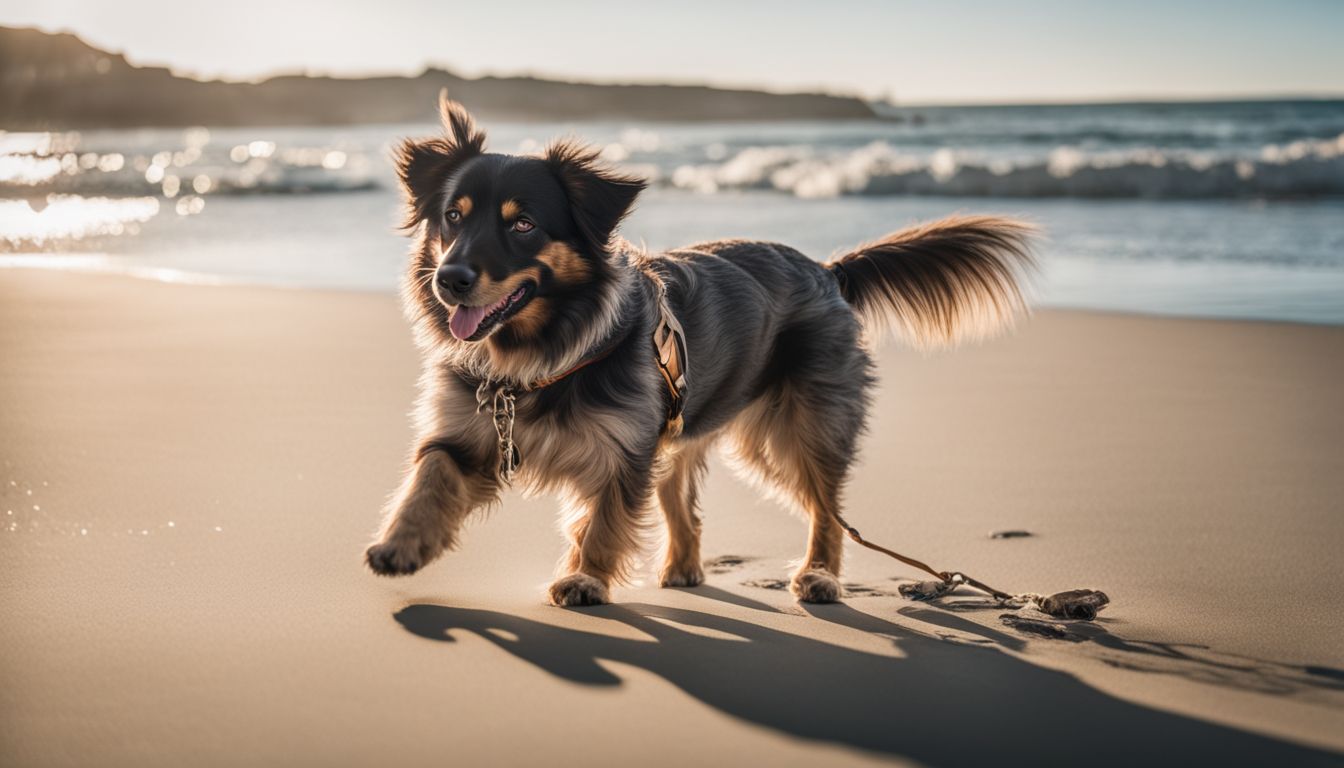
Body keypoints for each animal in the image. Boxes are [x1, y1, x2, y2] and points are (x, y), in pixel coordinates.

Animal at [362, 94, 1032, 607]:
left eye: (523, 224)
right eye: (452, 217)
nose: (449, 279)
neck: (537, 357)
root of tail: (826, 270)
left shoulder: (622, 451)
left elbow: (603, 522)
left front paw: (584, 578)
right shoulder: (473, 427)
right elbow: (430, 474)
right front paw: (402, 543)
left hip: (792, 428)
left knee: (826, 507)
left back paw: (818, 575)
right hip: (682, 423)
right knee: (685, 498)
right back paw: (684, 567)